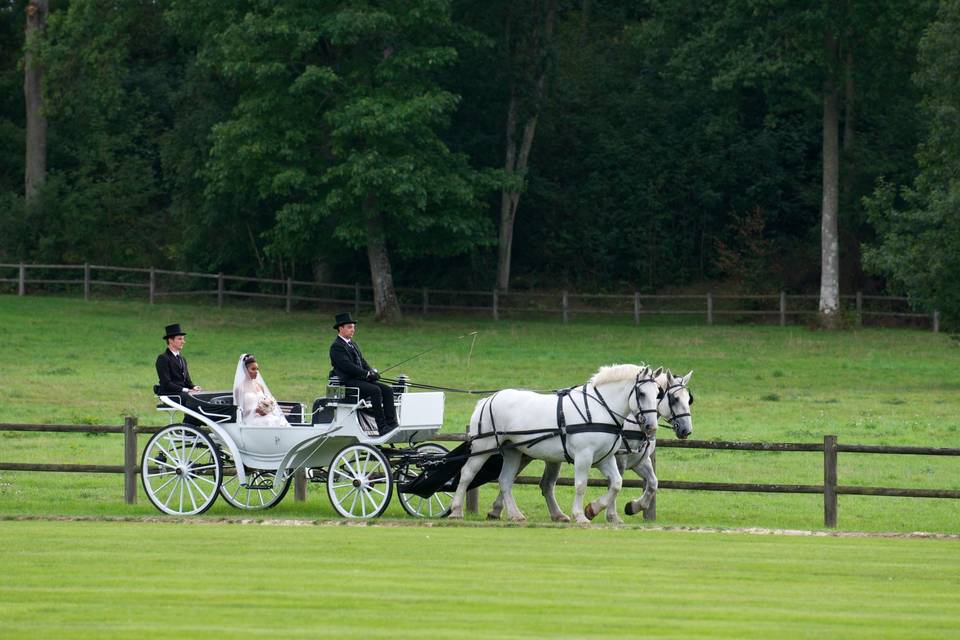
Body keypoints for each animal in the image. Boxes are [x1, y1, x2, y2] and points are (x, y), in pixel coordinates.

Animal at [448, 364, 660, 524]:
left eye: (657, 393)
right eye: (641, 393)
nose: (651, 426)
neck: (598, 409)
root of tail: (487, 400)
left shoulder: (604, 458)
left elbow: (616, 484)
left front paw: (592, 509)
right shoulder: (584, 456)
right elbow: (581, 485)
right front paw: (580, 516)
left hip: (513, 451)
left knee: (505, 480)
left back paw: (516, 515)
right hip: (484, 446)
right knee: (467, 474)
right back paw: (456, 511)